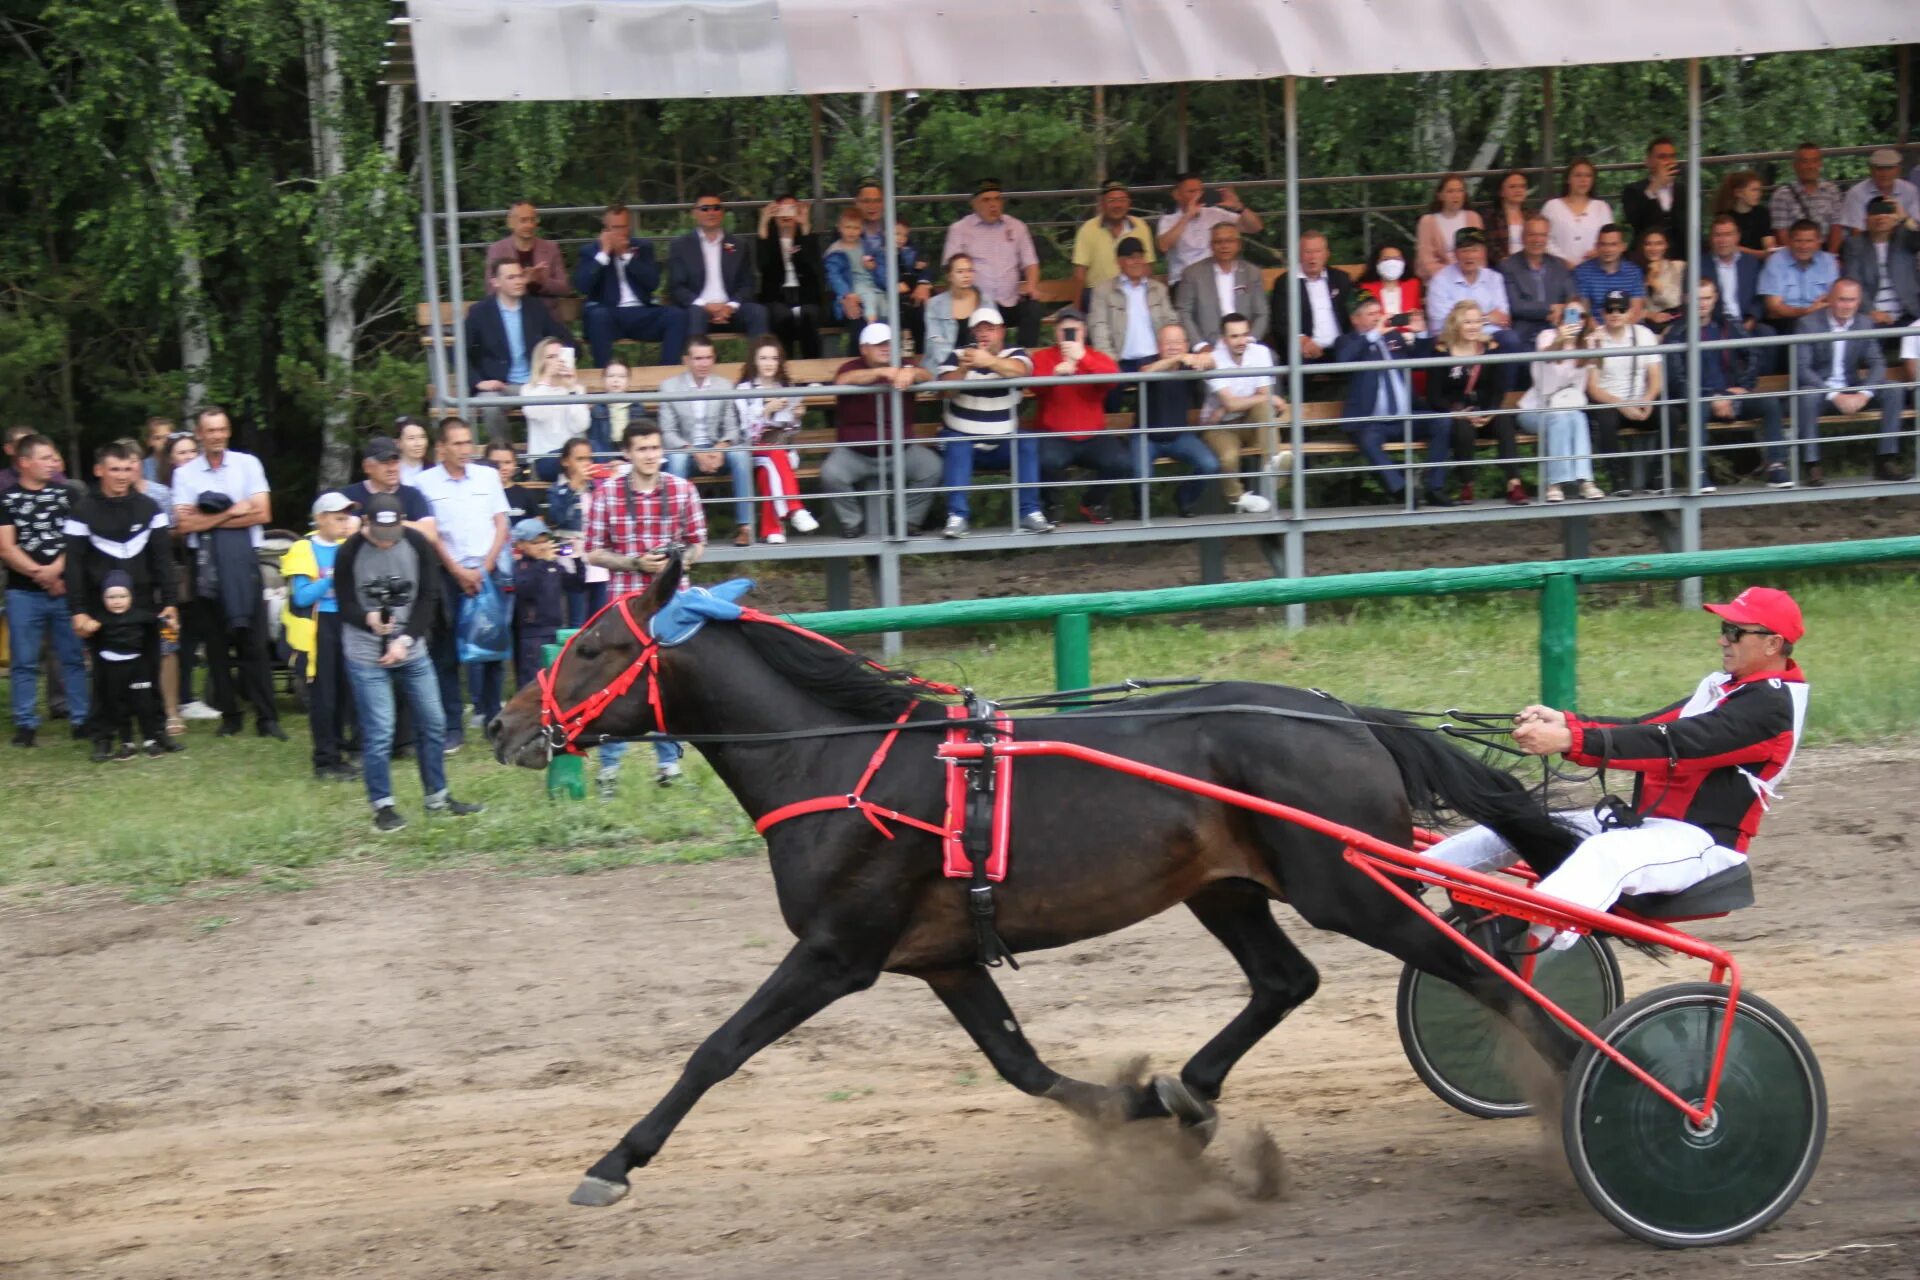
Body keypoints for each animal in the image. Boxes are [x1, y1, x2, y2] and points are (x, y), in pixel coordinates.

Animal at [491, 568, 1574, 1212]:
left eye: (591, 647)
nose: (504, 727)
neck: (836, 762)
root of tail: (1346, 716)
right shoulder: (941, 957)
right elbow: (1022, 1065)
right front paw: (1142, 1103)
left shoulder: (838, 951)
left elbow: (717, 1048)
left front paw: (613, 1163)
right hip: (1226, 886)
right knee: (1284, 979)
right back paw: (1190, 1083)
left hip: (1349, 886)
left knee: (1480, 975)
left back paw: (1577, 1085)